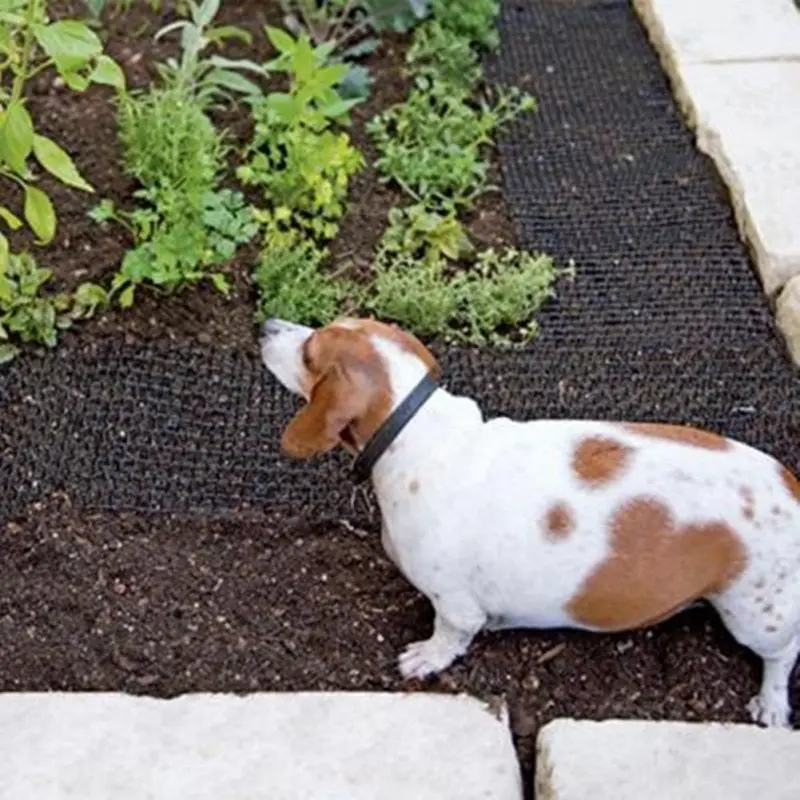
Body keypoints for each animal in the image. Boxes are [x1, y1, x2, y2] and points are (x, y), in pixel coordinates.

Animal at [260, 318, 796, 724]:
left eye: (309, 352)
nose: (266, 324)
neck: (417, 432)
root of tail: (791, 487)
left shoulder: (455, 606)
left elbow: (449, 636)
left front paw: (427, 658)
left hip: (755, 617)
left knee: (782, 656)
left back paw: (770, 704)